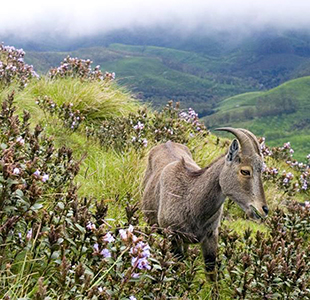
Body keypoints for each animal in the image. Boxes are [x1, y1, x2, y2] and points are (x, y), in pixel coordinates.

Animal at [142, 127, 268, 276]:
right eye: (245, 171)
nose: (263, 209)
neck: (191, 202)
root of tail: (166, 143)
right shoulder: (174, 236)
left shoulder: (211, 235)